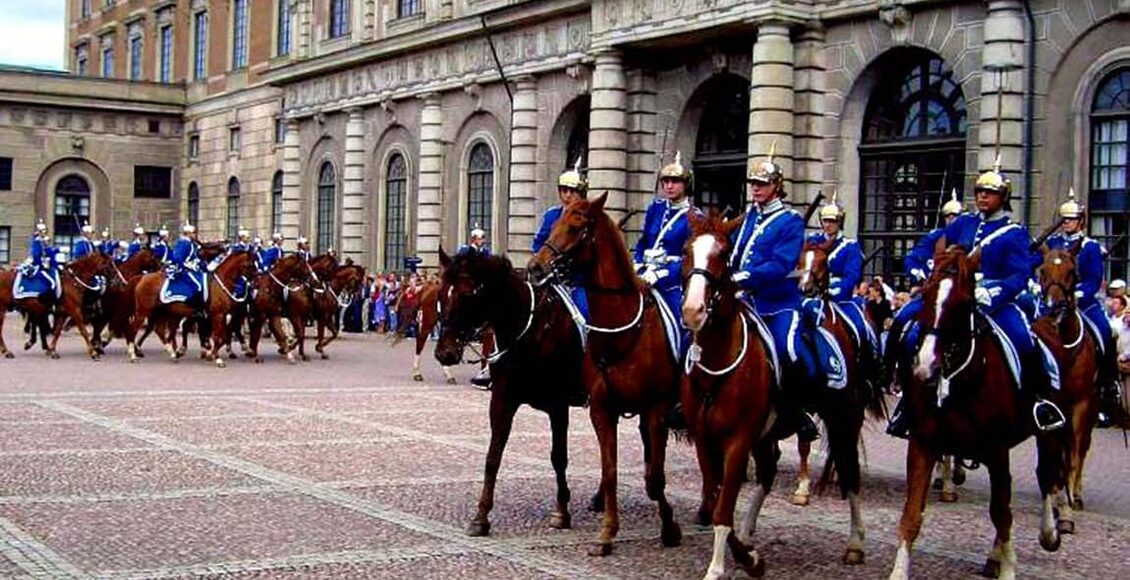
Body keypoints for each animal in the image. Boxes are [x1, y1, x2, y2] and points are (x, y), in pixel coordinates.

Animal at [431, 246, 592, 535]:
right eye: (440, 293)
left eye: (467, 294)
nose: (444, 353)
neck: (530, 332)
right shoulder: (502, 401)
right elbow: (492, 457)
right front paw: (481, 516)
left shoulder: (558, 405)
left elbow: (558, 457)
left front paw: (561, 511)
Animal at [526, 191, 678, 556]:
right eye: (554, 223)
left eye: (576, 227)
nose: (535, 267)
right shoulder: (601, 408)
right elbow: (609, 469)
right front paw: (607, 532)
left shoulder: (657, 408)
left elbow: (656, 476)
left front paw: (669, 527)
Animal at [885, 246, 1062, 578]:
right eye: (925, 293)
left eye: (964, 303)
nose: (924, 367)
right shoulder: (923, 444)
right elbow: (912, 514)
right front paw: (899, 571)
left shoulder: (997, 450)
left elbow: (1001, 514)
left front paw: (1009, 569)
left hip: (1051, 431)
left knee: (1045, 476)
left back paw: (1049, 533)